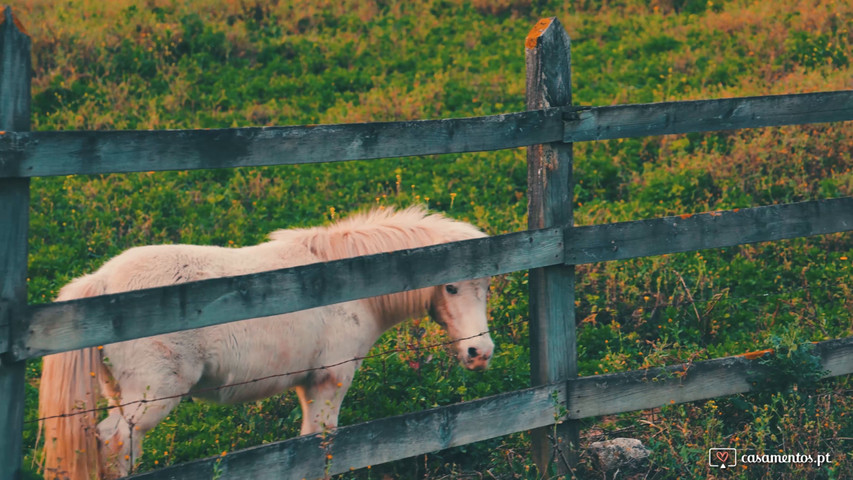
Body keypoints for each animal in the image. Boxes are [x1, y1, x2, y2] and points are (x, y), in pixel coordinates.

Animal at [40, 207, 492, 480]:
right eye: (450, 287)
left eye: (487, 286)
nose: (480, 353)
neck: (350, 282)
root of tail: (102, 282)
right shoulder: (331, 380)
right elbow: (322, 440)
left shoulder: (307, 384)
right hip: (149, 399)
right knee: (116, 442)